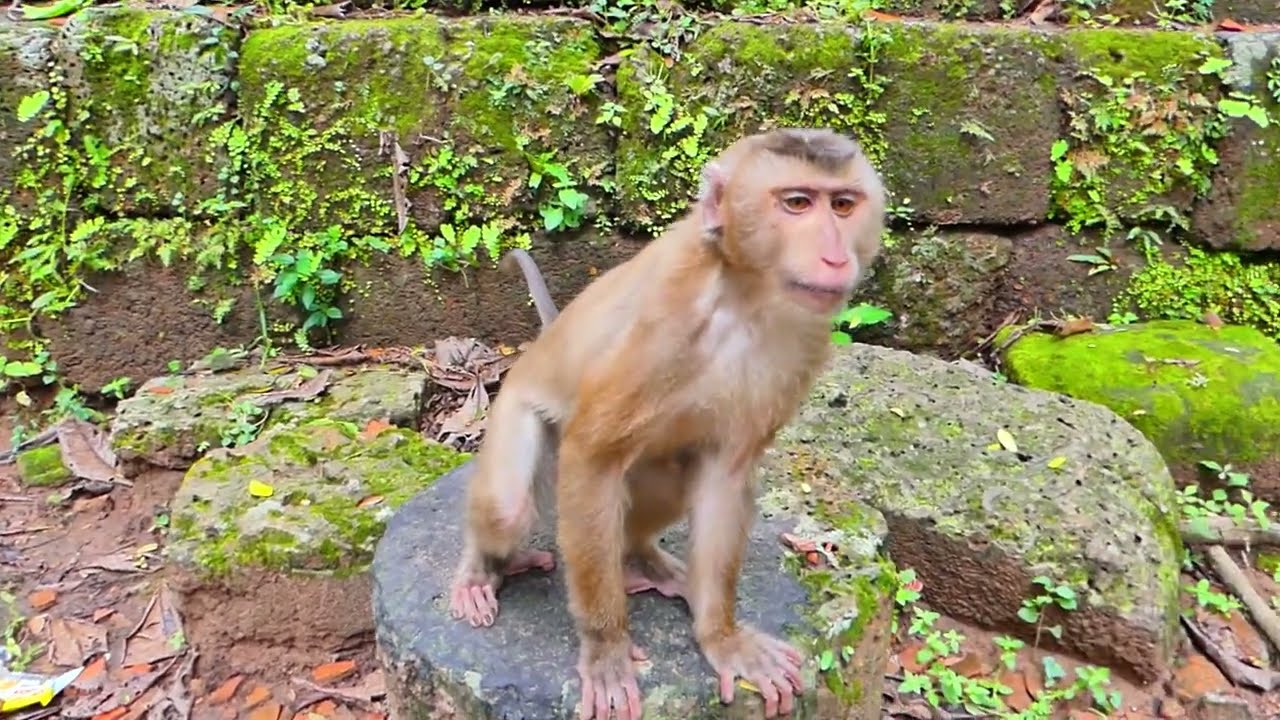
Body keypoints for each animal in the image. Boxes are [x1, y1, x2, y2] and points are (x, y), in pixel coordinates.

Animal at [446, 127, 885, 720]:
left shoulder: (806, 337)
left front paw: (722, 638)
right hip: (515, 408)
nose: (835, 257)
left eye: (842, 205)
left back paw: (642, 560)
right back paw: (482, 567)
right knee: (506, 509)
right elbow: (594, 454)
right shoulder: (666, 320)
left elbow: (726, 472)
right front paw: (606, 651)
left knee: (673, 472)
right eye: (797, 203)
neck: (744, 297)